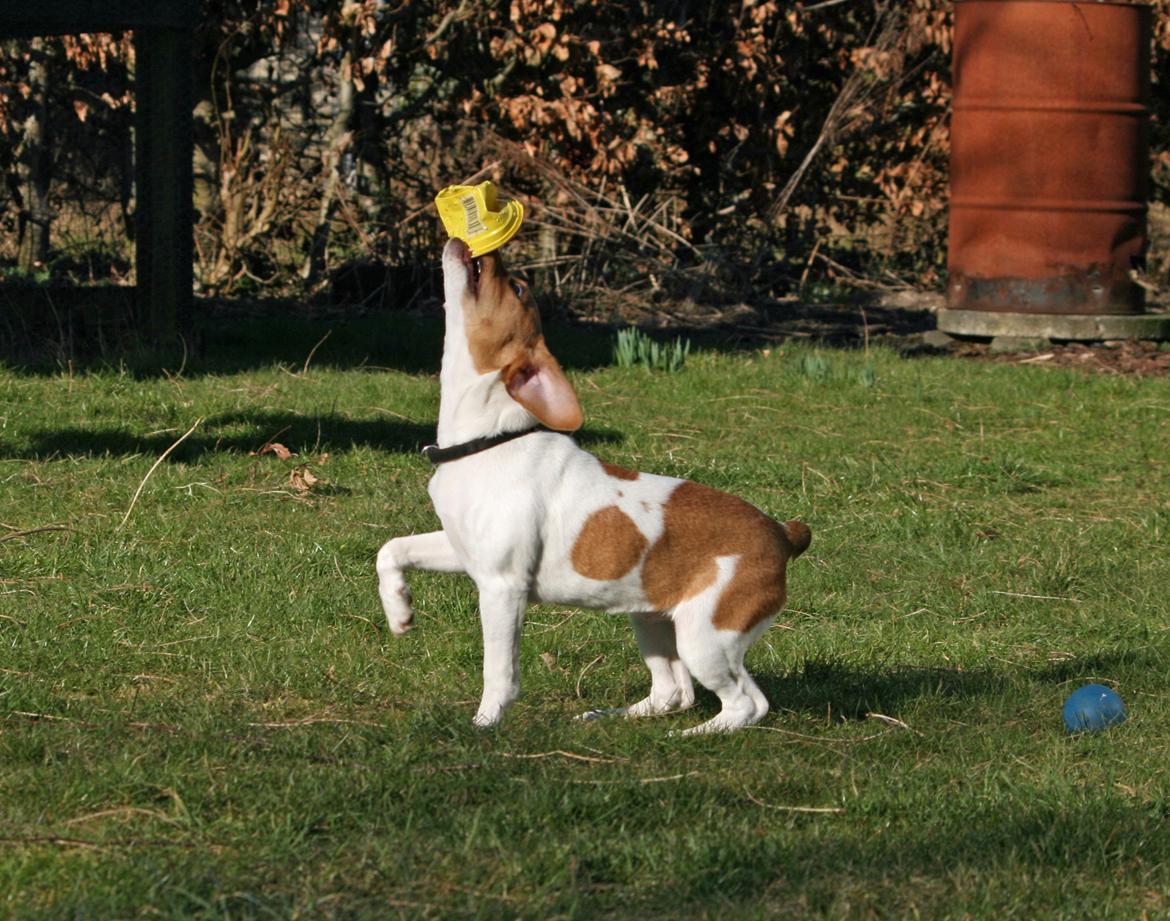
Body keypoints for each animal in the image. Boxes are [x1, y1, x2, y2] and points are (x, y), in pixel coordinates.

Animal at [379, 239, 809, 734]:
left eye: (518, 288)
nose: (485, 251)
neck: (486, 441)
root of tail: (783, 533)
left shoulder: (502, 587)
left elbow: (499, 671)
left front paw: (486, 724)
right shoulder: (461, 549)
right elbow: (390, 550)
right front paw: (399, 610)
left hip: (705, 637)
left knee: (747, 703)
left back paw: (694, 736)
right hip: (652, 619)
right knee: (672, 692)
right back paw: (609, 717)